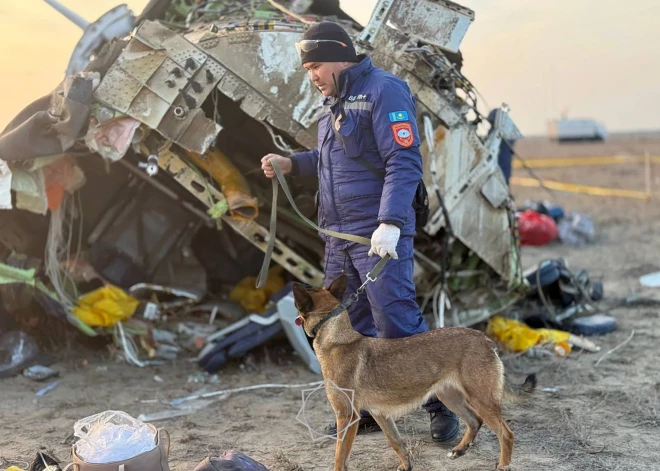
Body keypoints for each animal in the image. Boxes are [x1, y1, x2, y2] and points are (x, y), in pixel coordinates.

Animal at [292, 274, 536, 471]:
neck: (336, 337)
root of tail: (485, 340)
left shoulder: (346, 416)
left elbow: (339, 457)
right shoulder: (380, 414)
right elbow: (396, 442)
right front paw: (406, 465)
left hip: (480, 399)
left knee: (506, 433)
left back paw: (503, 465)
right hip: (450, 397)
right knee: (474, 421)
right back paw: (459, 450)